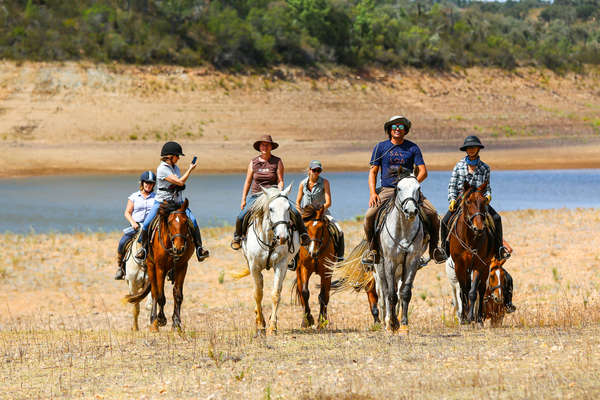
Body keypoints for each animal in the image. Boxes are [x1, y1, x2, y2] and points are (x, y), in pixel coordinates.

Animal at [125, 199, 193, 332]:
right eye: (170, 222)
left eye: (185, 222)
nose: (179, 248)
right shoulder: (160, 268)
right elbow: (160, 295)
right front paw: (161, 319)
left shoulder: (182, 267)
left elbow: (178, 295)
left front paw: (176, 324)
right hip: (151, 268)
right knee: (154, 292)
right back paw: (154, 322)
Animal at [233, 186, 300, 336]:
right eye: (271, 208)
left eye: (288, 208)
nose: (283, 237)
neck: (269, 239)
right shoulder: (254, 266)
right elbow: (258, 294)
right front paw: (259, 324)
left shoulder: (281, 265)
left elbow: (275, 294)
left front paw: (272, 326)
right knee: (259, 286)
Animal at [372, 171, 428, 332]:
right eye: (399, 188)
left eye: (418, 188)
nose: (411, 211)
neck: (403, 230)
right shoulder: (390, 263)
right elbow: (391, 295)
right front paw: (392, 323)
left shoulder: (412, 261)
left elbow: (405, 293)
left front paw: (403, 324)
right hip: (380, 269)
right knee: (384, 293)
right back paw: (387, 321)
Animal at [448, 181, 494, 324]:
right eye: (468, 201)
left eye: (484, 201)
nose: (478, 228)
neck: (469, 239)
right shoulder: (459, 265)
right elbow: (463, 291)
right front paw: (464, 318)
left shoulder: (479, 265)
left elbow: (473, 292)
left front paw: (471, 318)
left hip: (485, 266)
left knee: (481, 289)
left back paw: (478, 317)